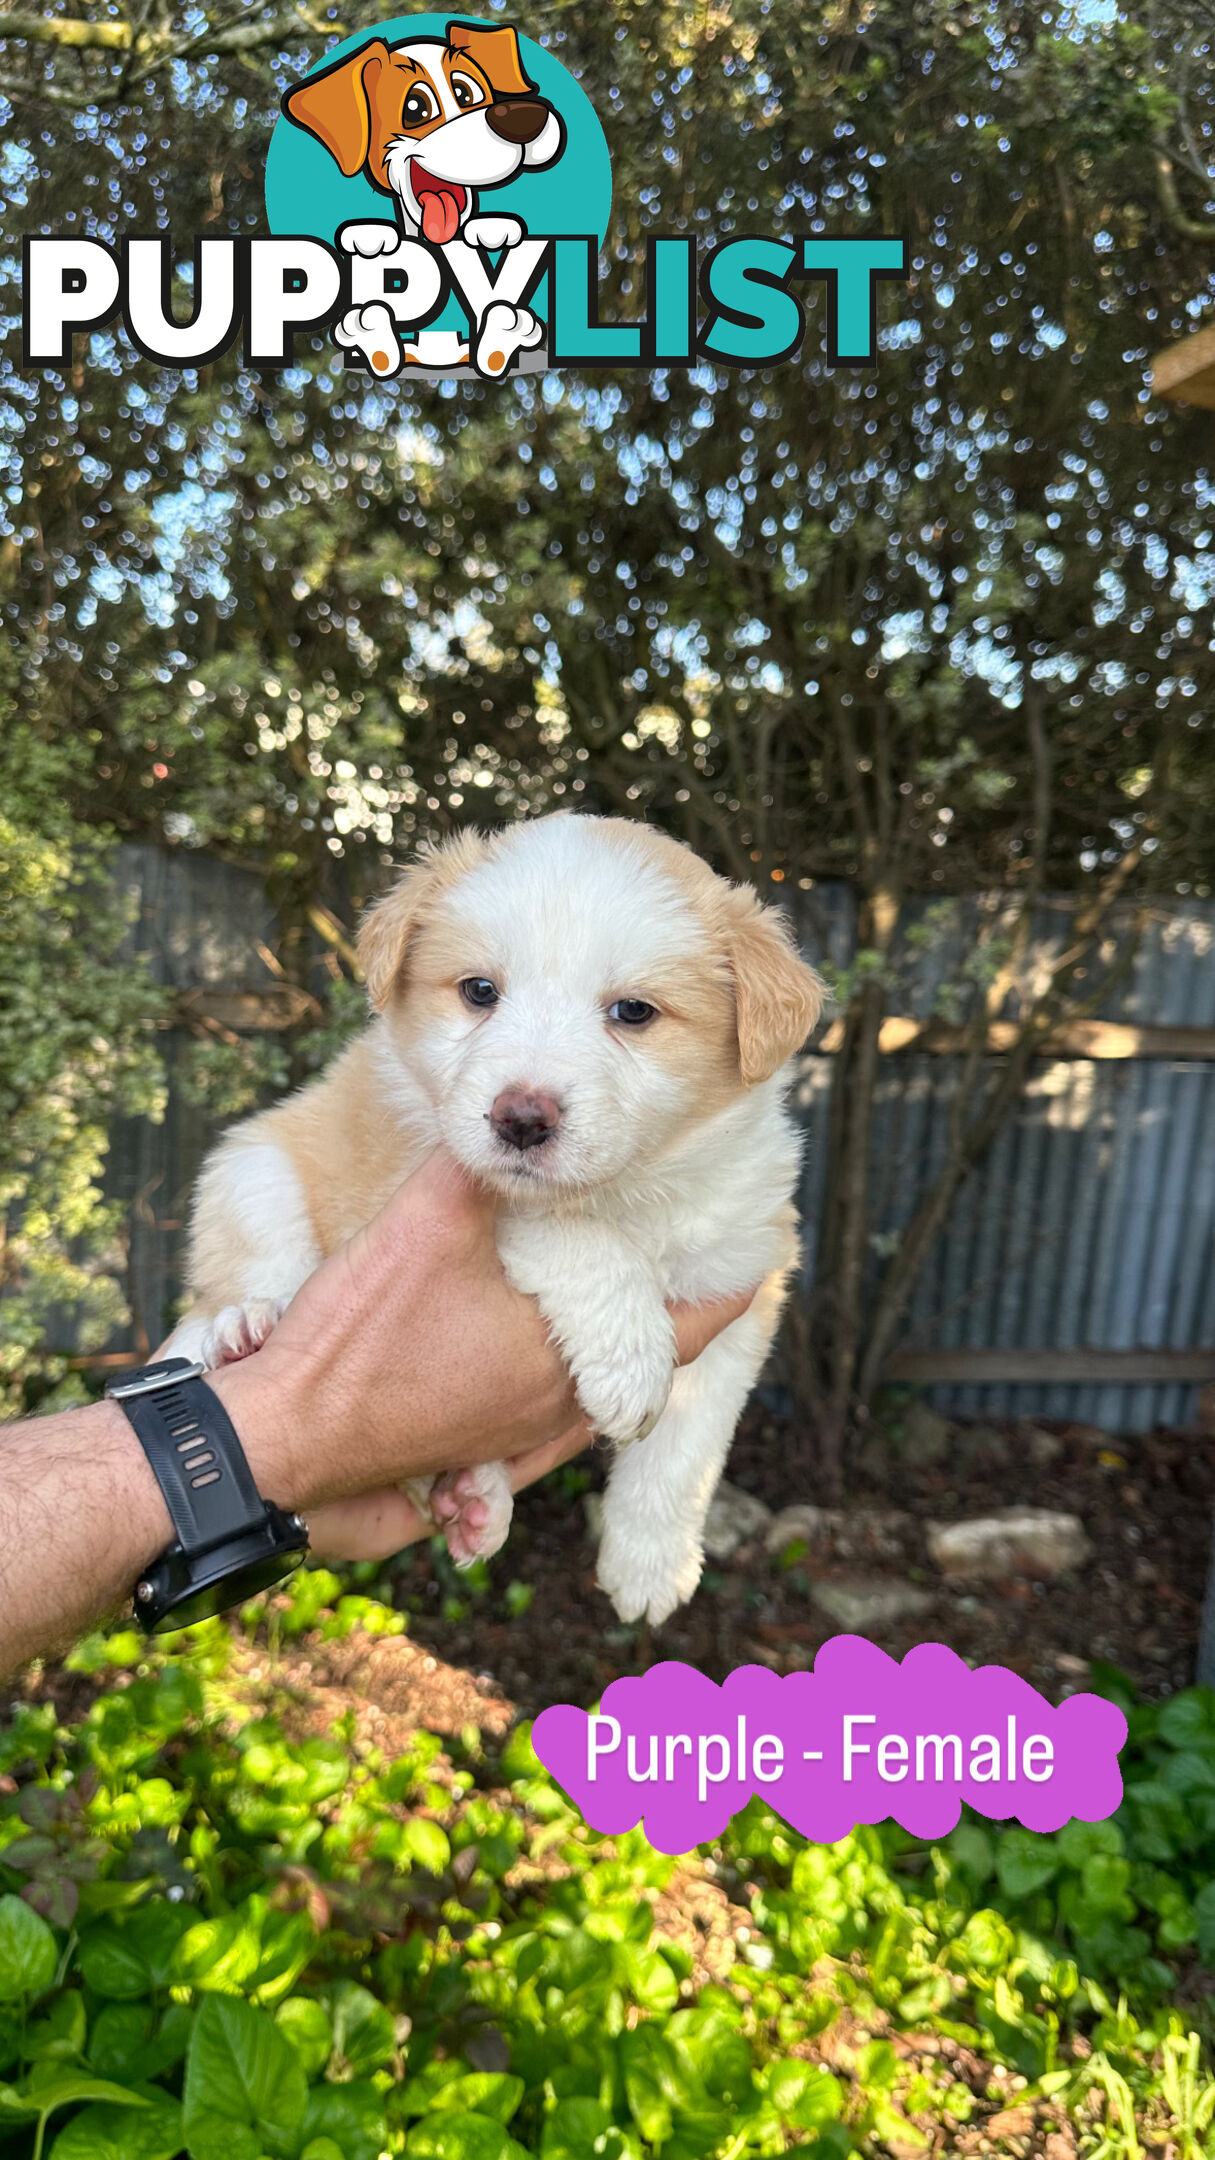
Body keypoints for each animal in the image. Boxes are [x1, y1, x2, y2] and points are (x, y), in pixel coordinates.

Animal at [165, 816, 817, 1624]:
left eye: (634, 1012)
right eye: (479, 991)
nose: (520, 1120)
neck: (635, 1188)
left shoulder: (740, 1283)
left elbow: (684, 1451)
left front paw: (649, 1566)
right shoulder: (425, 1171)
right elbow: (575, 1237)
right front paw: (631, 1359)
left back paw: (476, 1495)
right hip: (252, 1170)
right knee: (234, 1283)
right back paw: (242, 1329)